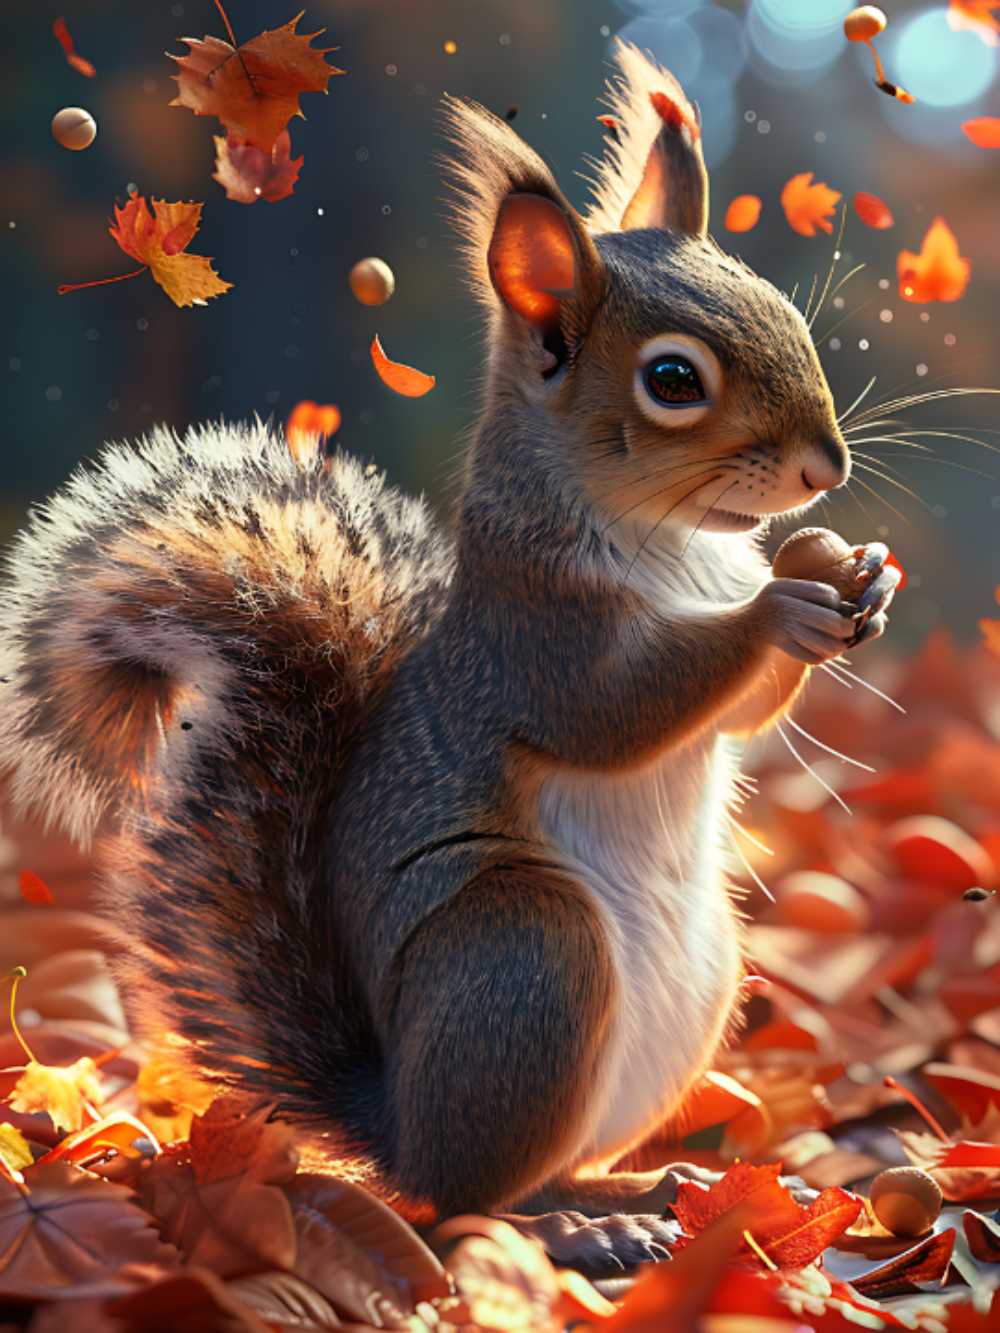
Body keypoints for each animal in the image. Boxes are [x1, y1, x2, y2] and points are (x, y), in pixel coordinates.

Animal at [0, 45, 899, 1252]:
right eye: (673, 380)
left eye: (785, 317)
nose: (826, 468)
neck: (680, 548)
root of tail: (395, 1121)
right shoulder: (531, 637)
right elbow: (616, 713)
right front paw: (776, 612)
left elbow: (744, 714)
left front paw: (860, 582)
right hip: (529, 954)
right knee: (473, 1199)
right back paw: (575, 1230)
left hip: (687, 989)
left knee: (539, 1169)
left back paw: (634, 1188)